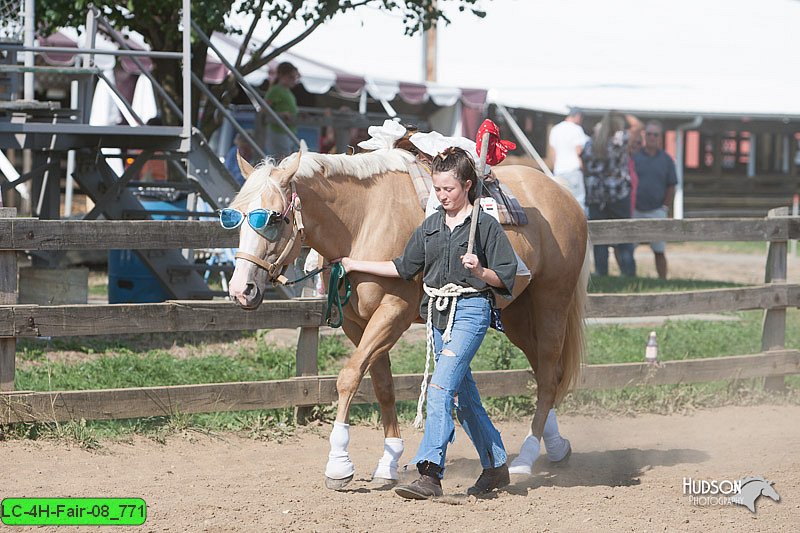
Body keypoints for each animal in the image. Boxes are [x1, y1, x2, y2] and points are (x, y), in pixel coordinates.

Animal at [225, 148, 588, 488]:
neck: (363, 221)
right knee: (543, 372)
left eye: (273, 219)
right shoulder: (358, 324)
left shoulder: (392, 313)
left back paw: (526, 457)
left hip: (551, 303)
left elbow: (349, 377)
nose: (241, 289)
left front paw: (339, 465)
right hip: (517, 315)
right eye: (235, 218)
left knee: (549, 375)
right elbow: (382, 386)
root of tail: (563, 194)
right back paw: (556, 446)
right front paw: (388, 464)